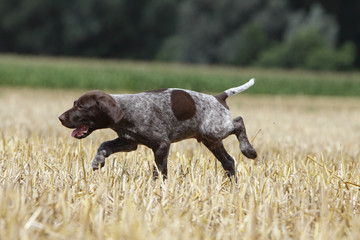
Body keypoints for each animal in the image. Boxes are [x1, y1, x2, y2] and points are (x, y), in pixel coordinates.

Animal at [58, 78, 256, 177]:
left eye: (82, 107)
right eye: (75, 103)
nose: (60, 118)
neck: (126, 110)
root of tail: (218, 97)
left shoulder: (161, 144)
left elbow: (159, 170)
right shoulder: (129, 143)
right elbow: (104, 145)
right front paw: (98, 160)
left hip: (214, 129)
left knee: (238, 122)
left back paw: (249, 150)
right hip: (212, 140)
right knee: (228, 162)